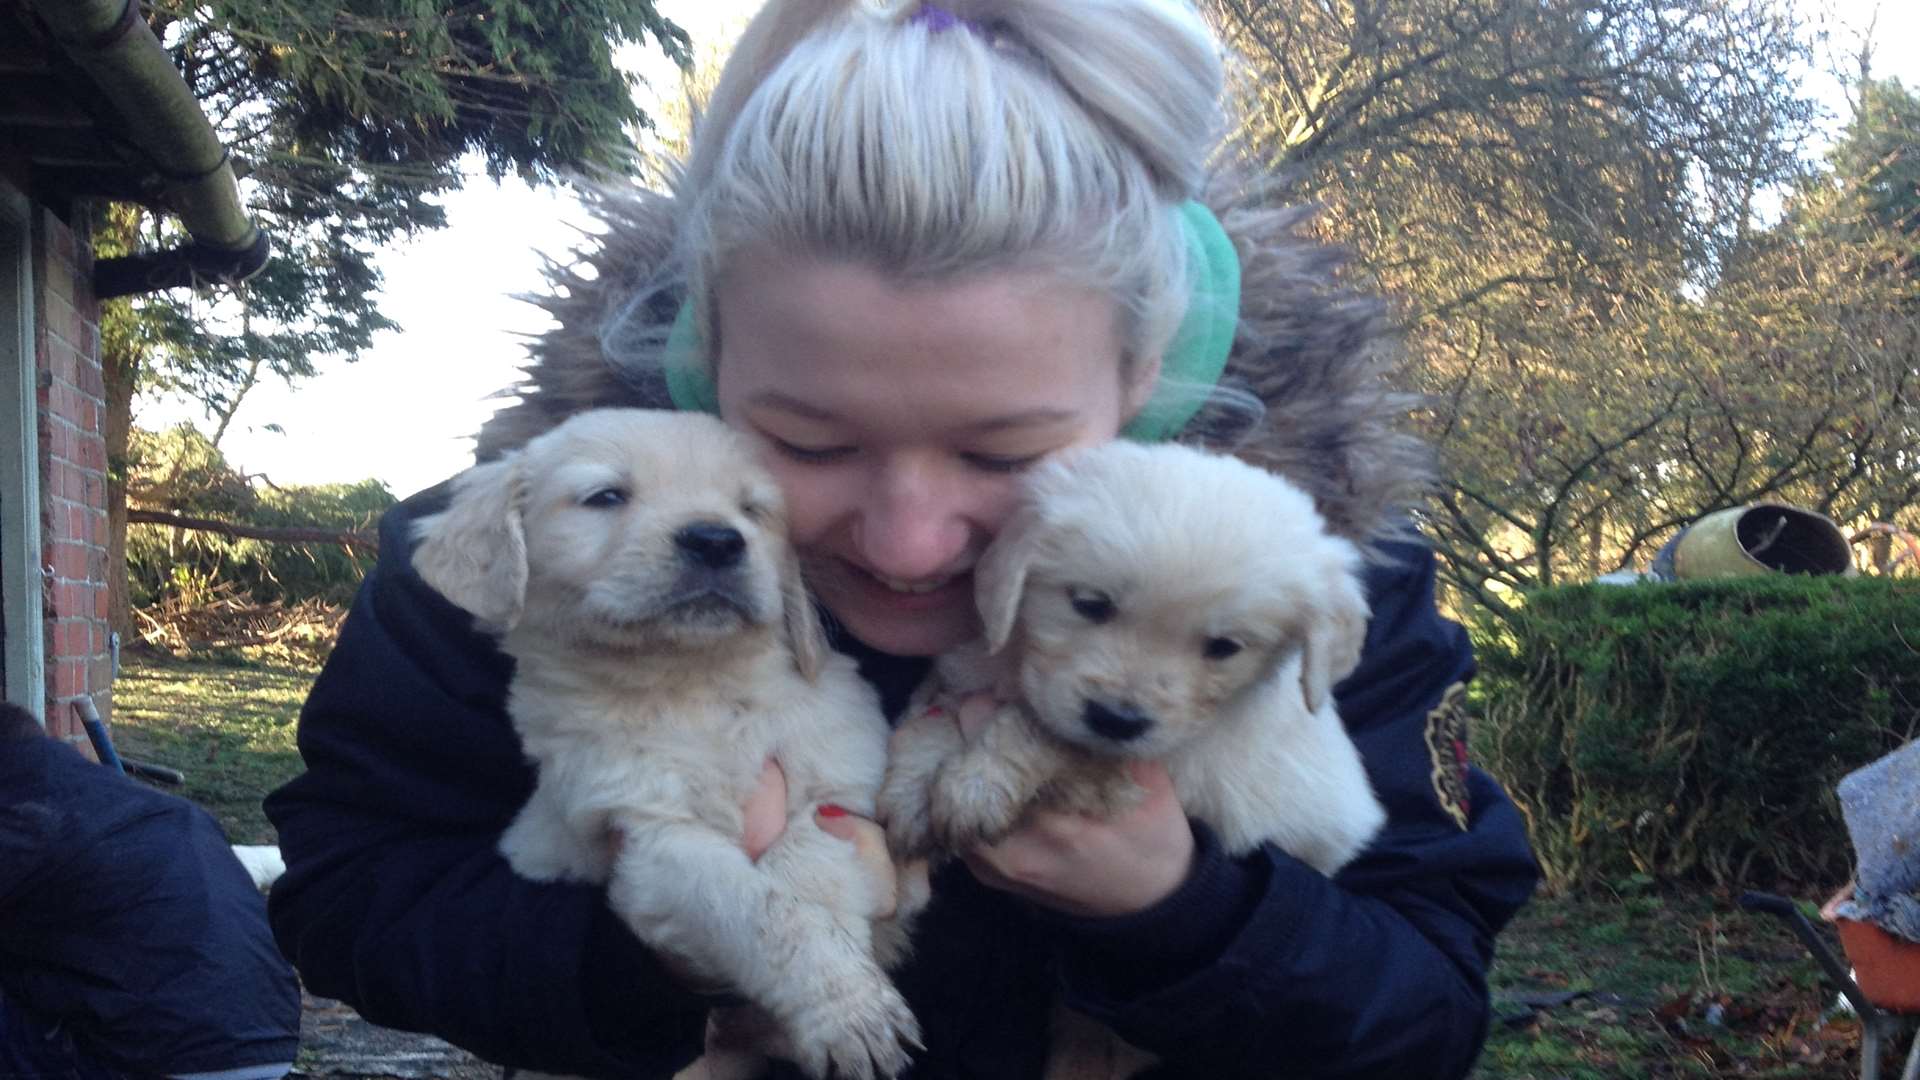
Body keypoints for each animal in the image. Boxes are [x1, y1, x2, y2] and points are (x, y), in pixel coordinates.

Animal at [414, 405, 921, 1076]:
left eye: (752, 509)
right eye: (606, 496)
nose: (716, 540)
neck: (692, 685)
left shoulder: (838, 794)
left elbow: (803, 877)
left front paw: (852, 1002)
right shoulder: (655, 839)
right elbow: (759, 911)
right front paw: (847, 1012)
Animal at [879, 438, 1390, 876]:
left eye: (1224, 647)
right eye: (1090, 604)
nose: (1116, 720)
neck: (1015, 663)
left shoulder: (1153, 768)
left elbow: (1044, 733)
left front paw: (977, 785)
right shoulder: (964, 669)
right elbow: (931, 715)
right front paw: (913, 791)